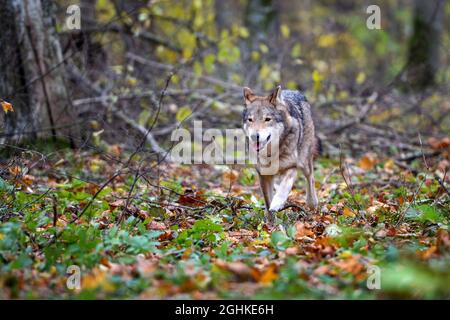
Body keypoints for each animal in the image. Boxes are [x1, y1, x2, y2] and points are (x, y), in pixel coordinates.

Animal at [243, 86, 320, 224]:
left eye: (267, 119)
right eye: (250, 120)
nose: (254, 136)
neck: (271, 153)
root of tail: (294, 92)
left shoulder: (292, 166)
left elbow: (283, 189)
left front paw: (277, 203)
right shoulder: (264, 175)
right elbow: (267, 201)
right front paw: (270, 223)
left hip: (304, 161)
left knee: (310, 178)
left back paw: (312, 203)